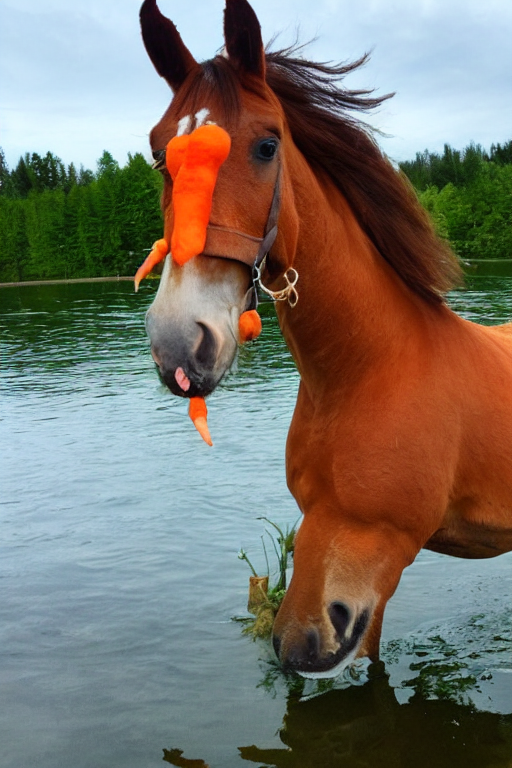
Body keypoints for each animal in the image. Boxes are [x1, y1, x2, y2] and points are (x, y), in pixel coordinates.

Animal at [138, 0, 512, 676]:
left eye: (267, 145)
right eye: (159, 154)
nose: (180, 341)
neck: (367, 370)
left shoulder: (370, 562)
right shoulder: (331, 565)